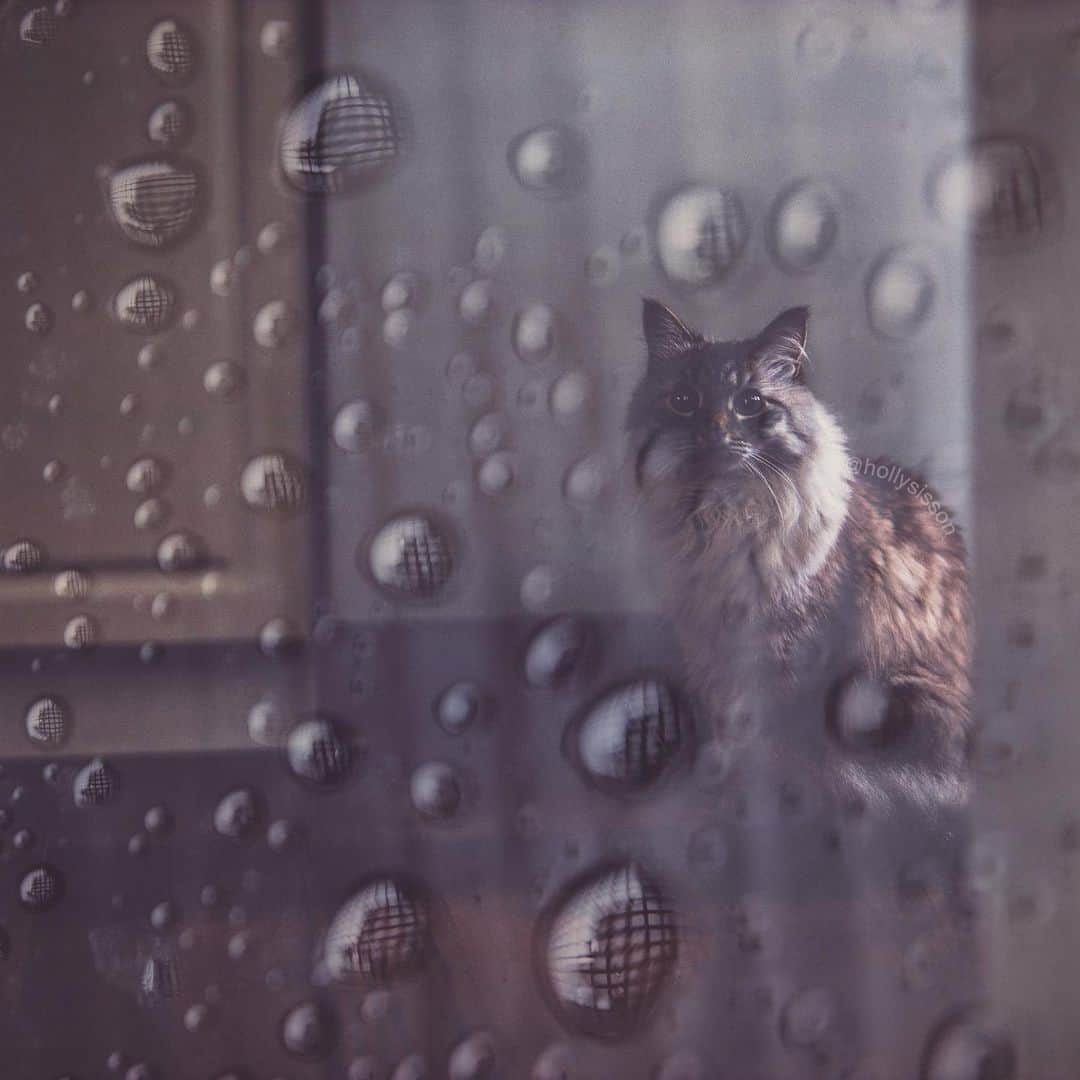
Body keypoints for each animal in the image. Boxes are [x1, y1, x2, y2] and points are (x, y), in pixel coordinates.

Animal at [626, 298, 972, 812]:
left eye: (750, 403)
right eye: (683, 401)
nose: (714, 431)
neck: (722, 521)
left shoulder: (787, 652)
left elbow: (773, 741)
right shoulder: (708, 652)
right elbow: (726, 726)